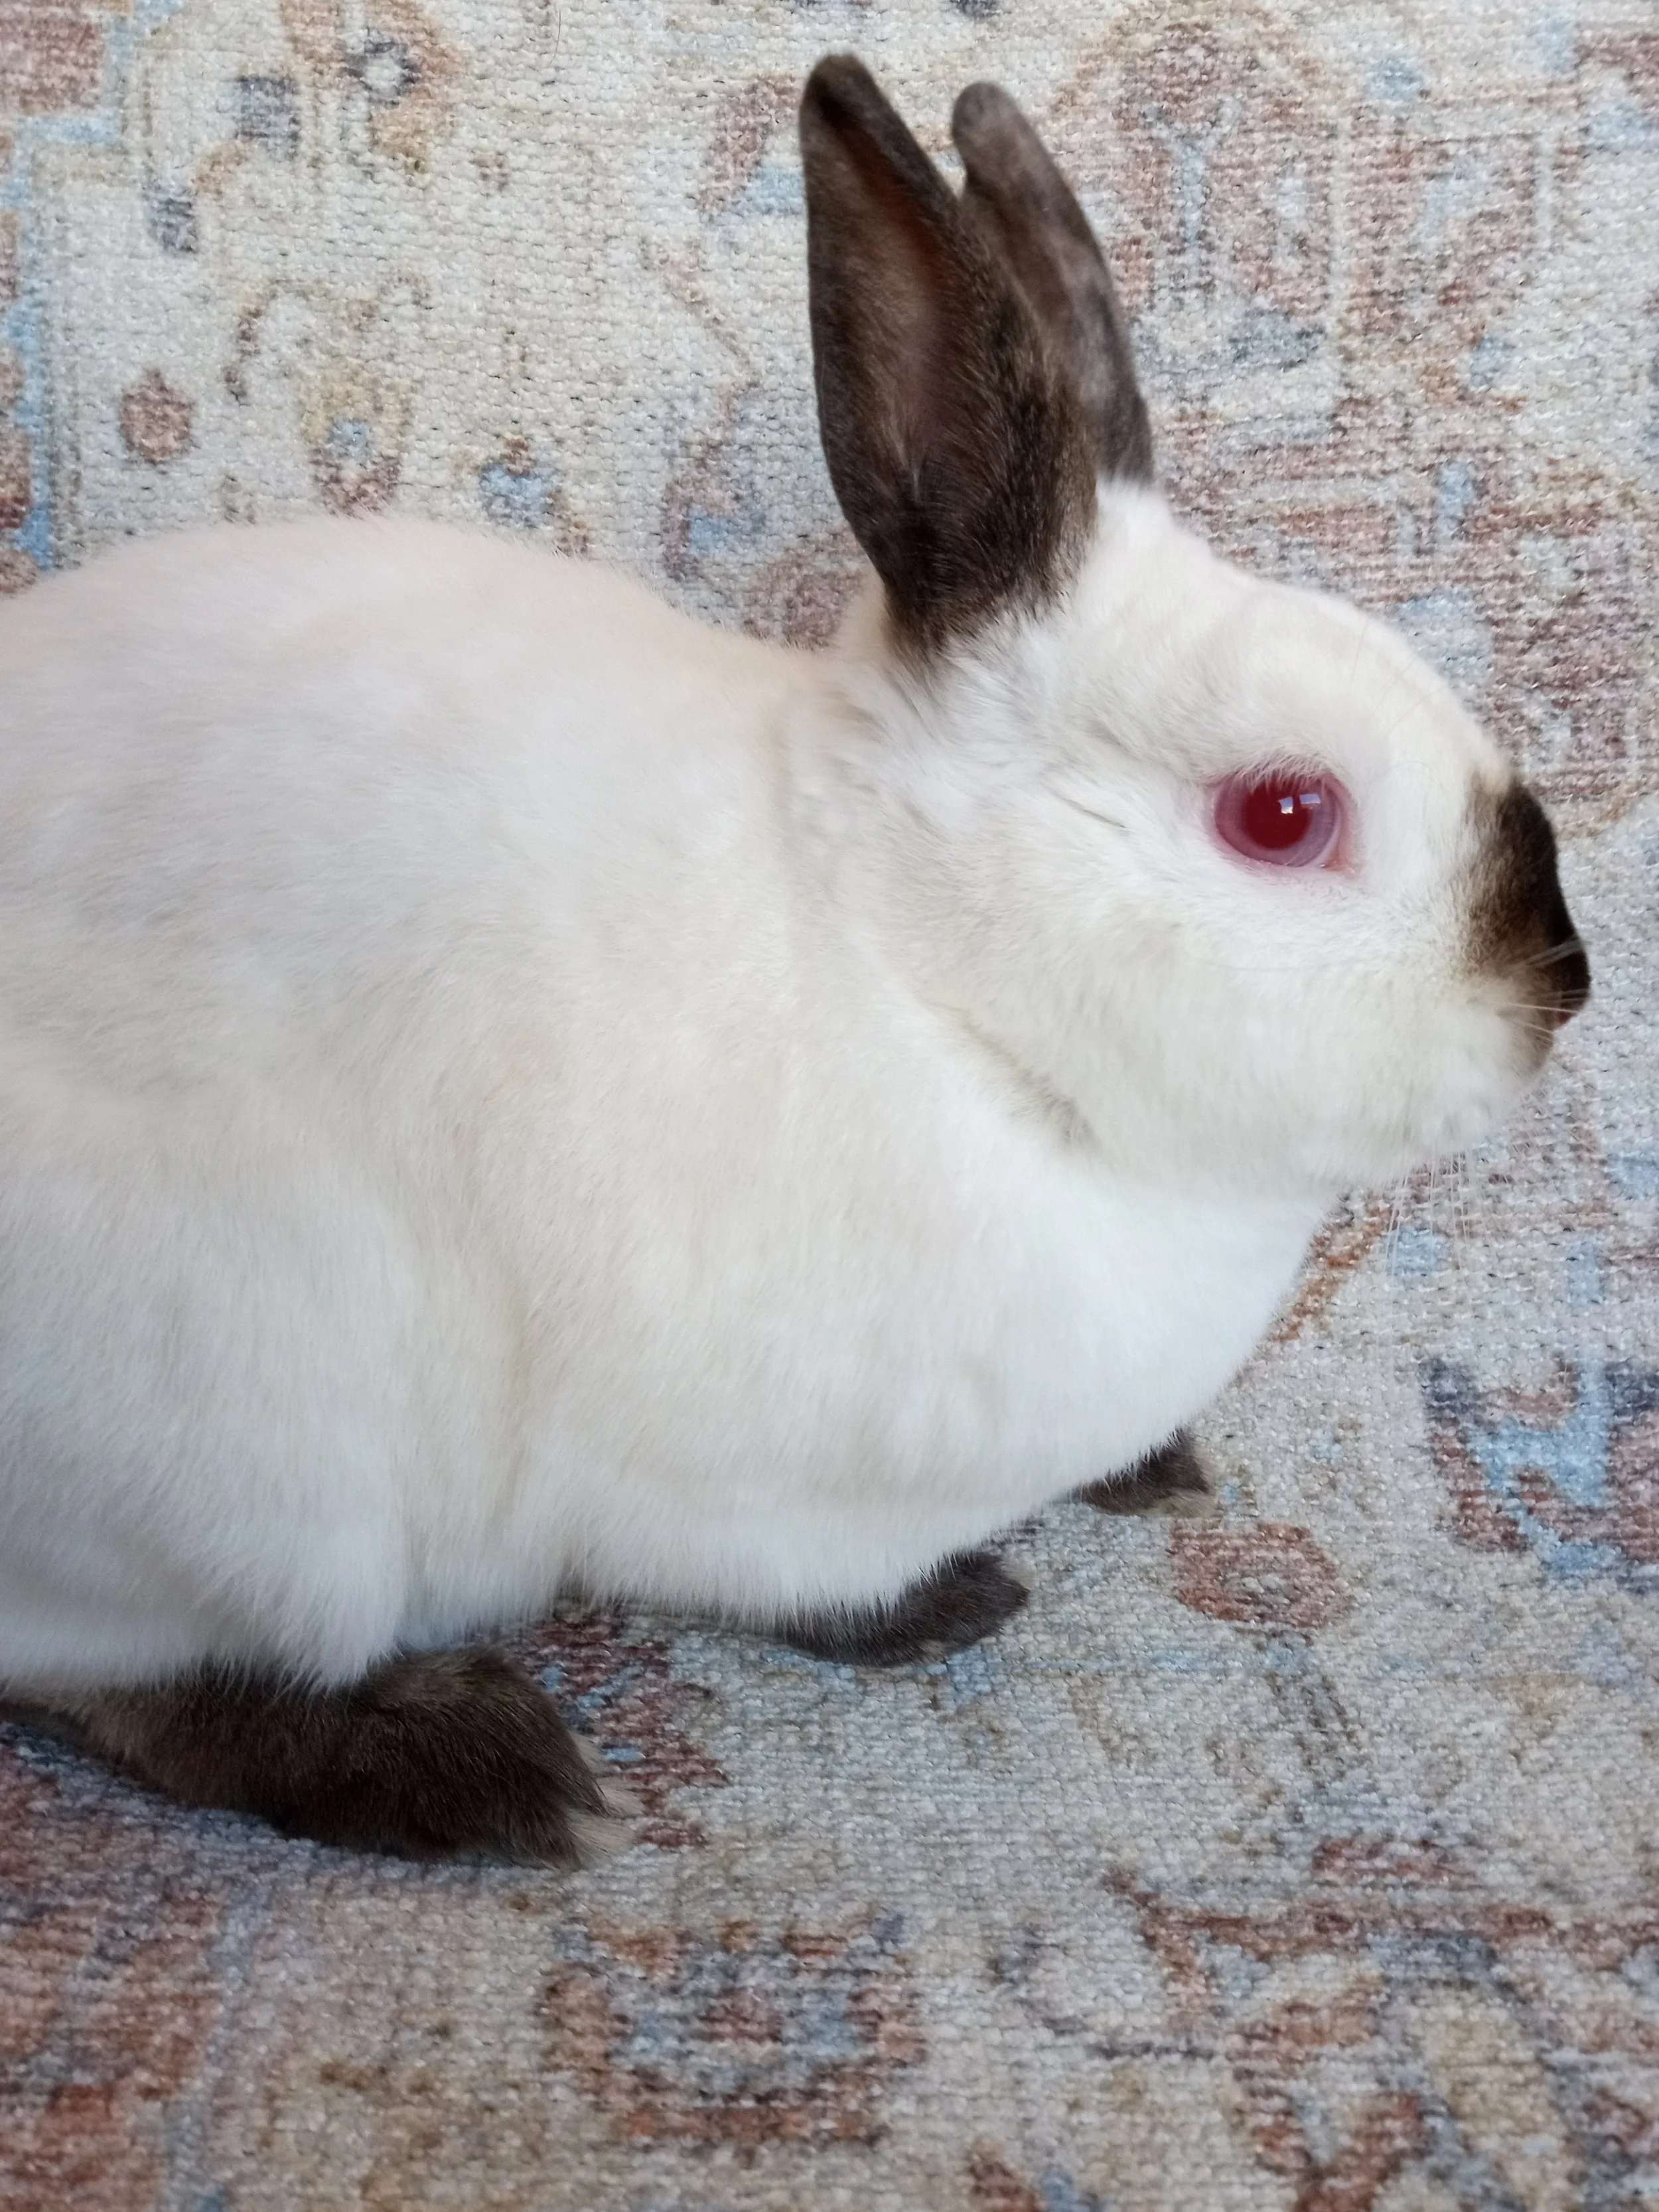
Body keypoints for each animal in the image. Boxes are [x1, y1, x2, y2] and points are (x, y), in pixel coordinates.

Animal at [0, 57, 1588, 1862]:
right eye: (1282, 814)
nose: (1561, 983)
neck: (933, 981)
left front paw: (1154, 1472)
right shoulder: (743, 1498)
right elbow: (795, 1585)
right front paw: (954, 1600)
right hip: (253, 1477)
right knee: (122, 1683)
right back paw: (486, 1770)